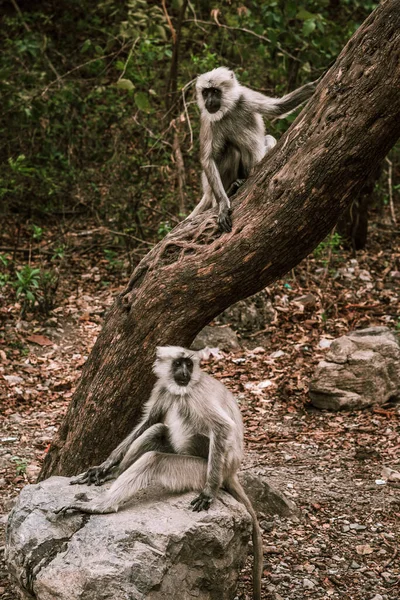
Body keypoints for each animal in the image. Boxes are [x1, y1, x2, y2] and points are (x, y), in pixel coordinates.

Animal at [55, 344, 262, 600]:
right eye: (178, 364)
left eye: (189, 364)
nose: (185, 372)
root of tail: (231, 471)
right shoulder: (162, 387)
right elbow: (148, 421)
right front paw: (105, 466)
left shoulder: (195, 394)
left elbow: (222, 427)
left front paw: (209, 492)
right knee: (157, 429)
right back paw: (114, 473)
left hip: (200, 469)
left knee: (156, 457)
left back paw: (101, 506)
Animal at [189, 66, 318, 232]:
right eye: (206, 92)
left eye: (215, 91)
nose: (209, 101)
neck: (228, 110)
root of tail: (207, 191)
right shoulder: (207, 118)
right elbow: (207, 159)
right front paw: (223, 205)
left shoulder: (245, 97)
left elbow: (279, 107)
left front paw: (313, 86)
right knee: (231, 151)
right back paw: (230, 190)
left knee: (269, 138)